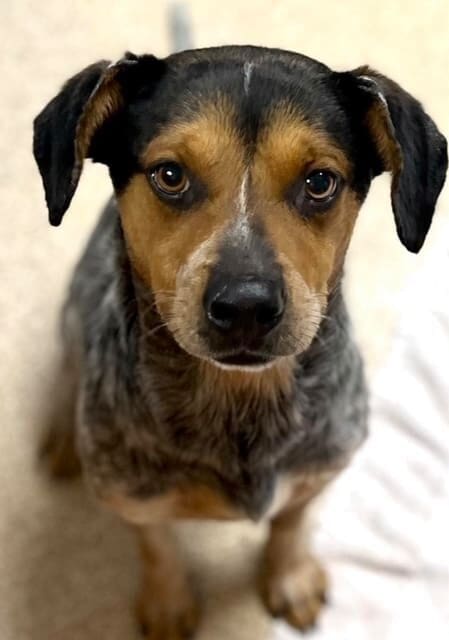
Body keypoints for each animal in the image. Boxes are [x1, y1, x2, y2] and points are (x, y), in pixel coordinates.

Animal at [33, 47, 446, 636]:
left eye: (320, 181)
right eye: (170, 175)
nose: (247, 305)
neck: (239, 401)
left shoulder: (320, 468)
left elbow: (292, 523)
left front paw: (290, 578)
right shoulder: (133, 497)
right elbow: (157, 547)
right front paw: (168, 603)